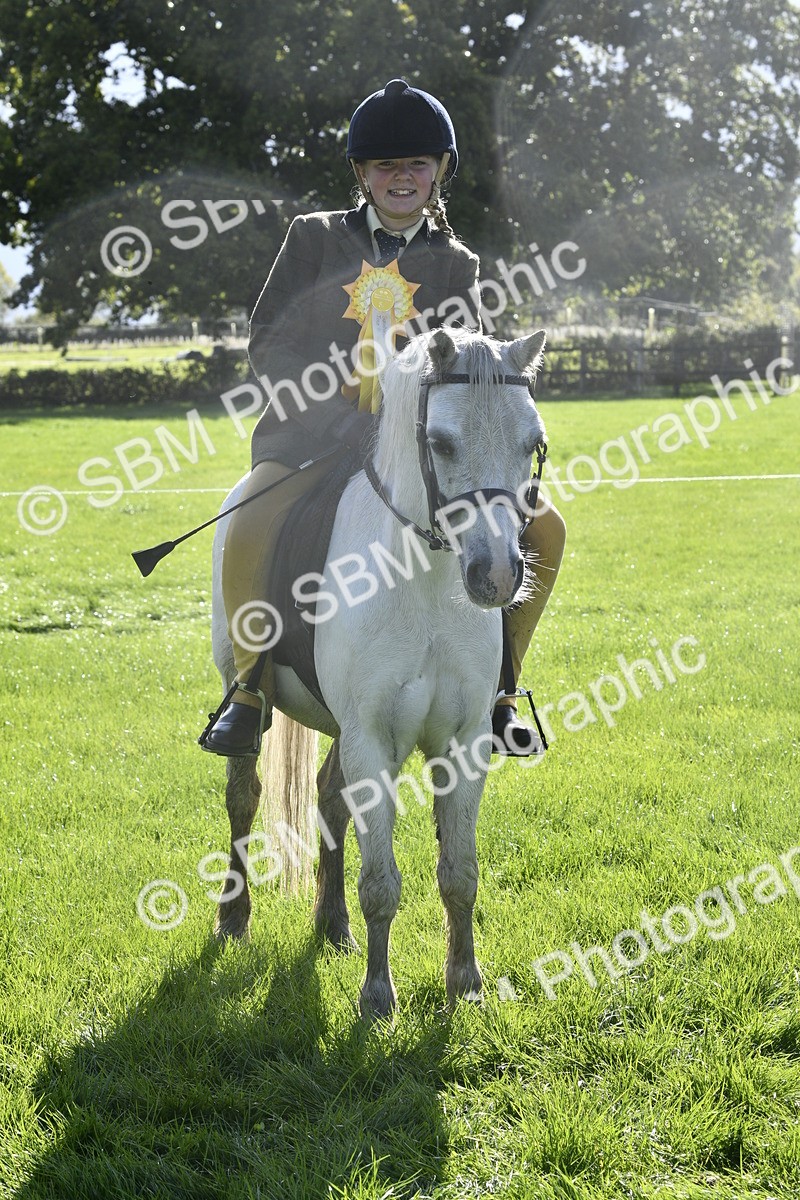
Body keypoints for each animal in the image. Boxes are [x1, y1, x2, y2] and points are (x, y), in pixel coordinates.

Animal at [209, 326, 547, 1020]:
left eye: (531, 444)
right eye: (441, 442)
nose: (498, 576)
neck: (424, 580)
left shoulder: (461, 743)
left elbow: (459, 873)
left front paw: (465, 981)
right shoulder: (372, 739)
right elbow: (381, 883)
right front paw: (376, 995)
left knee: (328, 798)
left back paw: (333, 923)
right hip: (254, 695)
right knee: (243, 797)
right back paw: (234, 917)